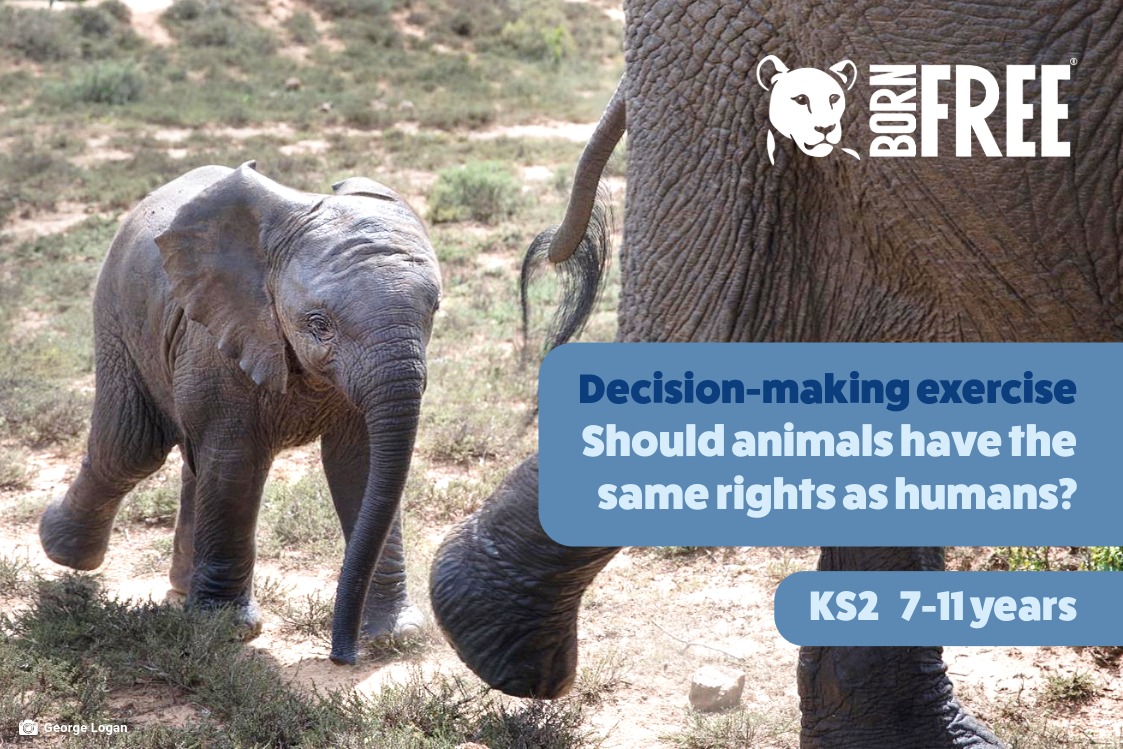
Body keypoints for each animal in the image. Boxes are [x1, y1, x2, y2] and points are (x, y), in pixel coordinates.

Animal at [38, 162, 441, 666]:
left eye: (435, 309)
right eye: (318, 324)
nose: (341, 656)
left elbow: (363, 468)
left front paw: (395, 636)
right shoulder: (219, 340)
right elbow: (236, 462)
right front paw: (227, 631)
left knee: (185, 462)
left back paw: (180, 590)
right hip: (118, 314)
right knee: (130, 449)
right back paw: (62, 551)